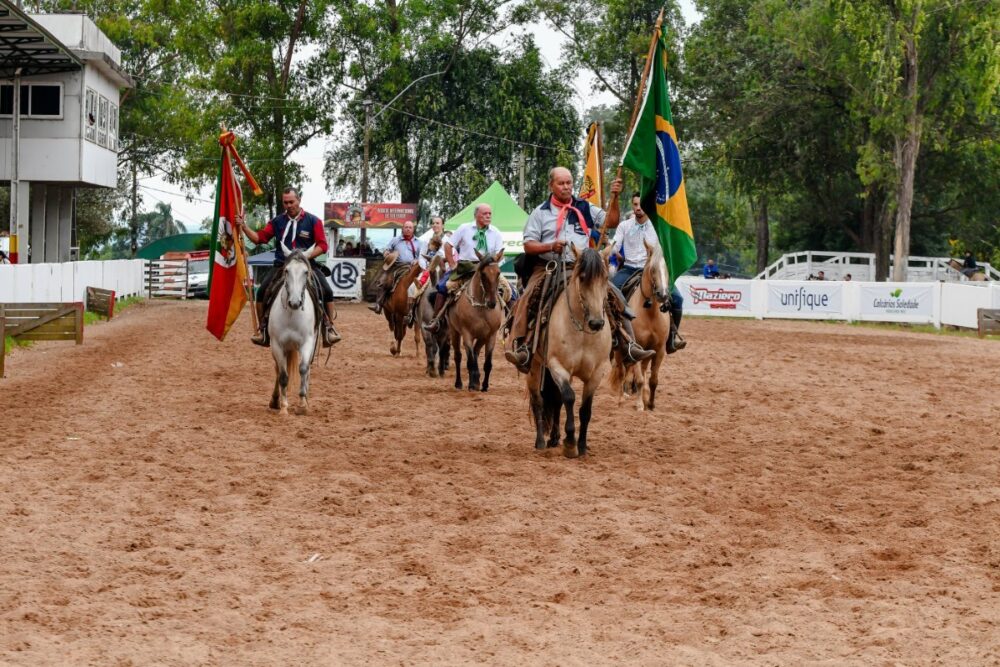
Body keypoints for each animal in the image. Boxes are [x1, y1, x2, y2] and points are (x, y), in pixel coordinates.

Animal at [268, 245, 320, 416]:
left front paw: (303, 404)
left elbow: (303, 369)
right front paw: (284, 407)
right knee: (277, 370)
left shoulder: (307, 343)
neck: (292, 314)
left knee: (308, 369)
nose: (295, 303)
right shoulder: (277, 345)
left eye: (305, 272)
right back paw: (275, 401)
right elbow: (283, 375)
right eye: (286, 271)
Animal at [448, 249, 505, 391]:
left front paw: (484, 385)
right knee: (458, 356)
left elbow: (487, 363)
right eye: (483, 274)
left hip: (482, 337)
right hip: (454, 331)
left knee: (476, 352)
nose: (492, 303)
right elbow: (469, 362)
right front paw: (472, 384)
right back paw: (459, 383)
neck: (481, 308)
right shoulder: (467, 334)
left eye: (498, 273)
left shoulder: (491, 336)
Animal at [528, 245, 613, 458]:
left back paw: (554, 438)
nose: (597, 323)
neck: (582, 333)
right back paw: (541, 441)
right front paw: (570, 443)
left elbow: (585, 409)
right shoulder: (558, 366)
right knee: (538, 400)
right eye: (582, 277)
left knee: (556, 401)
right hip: (535, 367)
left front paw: (581, 445)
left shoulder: (596, 373)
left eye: (606, 277)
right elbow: (569, 397)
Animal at [608, 240, 670, 412]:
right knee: (622, 371)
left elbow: (653, 379)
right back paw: (621, 398)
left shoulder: (659, 349)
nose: (663, 295)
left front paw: (650, 404)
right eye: (653, 269)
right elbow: (639, 378)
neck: (650, 313)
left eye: (667, 269)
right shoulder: (636, 345)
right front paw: (639, 405)